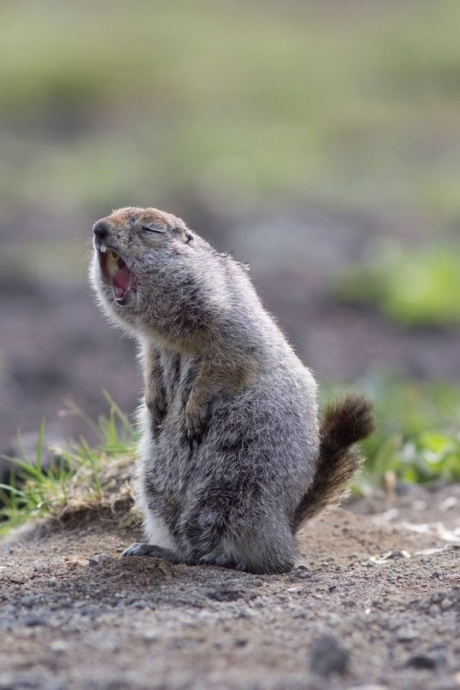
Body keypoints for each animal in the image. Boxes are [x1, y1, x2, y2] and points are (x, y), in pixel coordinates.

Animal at [90, 207, 374, 572]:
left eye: (151, 229)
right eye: (110, 215)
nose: (98, 229)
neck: (173, 338)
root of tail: (286, 531)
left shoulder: (229, 328)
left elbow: (226, 366)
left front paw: (192, 412)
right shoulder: (152, 346)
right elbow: (150, 366)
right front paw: (154, 403)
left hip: (232, 489)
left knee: (250, 551)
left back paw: (222, 558)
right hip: (155, 490)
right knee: (184, 541)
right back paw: (156, 549)